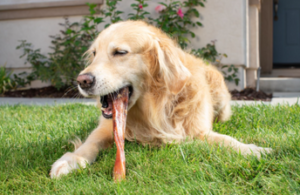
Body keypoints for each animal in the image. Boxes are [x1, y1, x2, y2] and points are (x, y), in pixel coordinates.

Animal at [49, 20, 272, 177]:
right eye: (94, 53)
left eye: (120, 52)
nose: (82, 80)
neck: (151, 109)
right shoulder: (106, 127)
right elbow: (90, 142)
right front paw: (71, 160)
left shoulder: (197, 131)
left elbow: (226, 140)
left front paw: (252, 150)